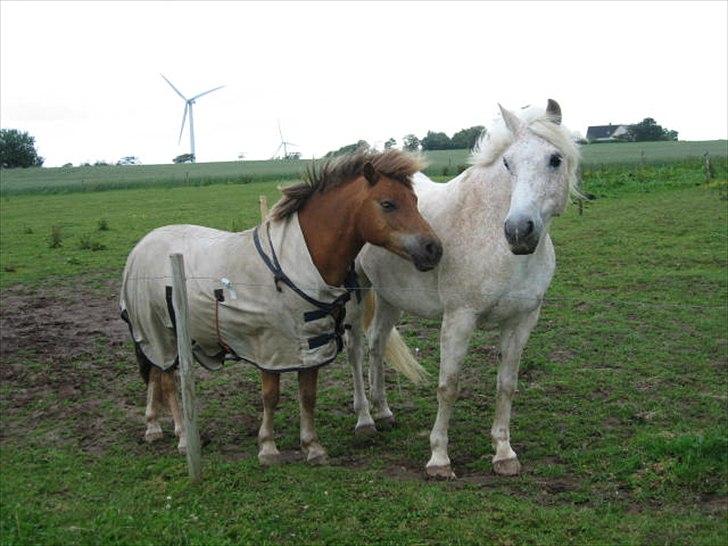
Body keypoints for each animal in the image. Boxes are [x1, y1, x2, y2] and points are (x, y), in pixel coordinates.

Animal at [346, 99, 580, 476]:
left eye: (555, 159)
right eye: (508, 163)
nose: (518, 230)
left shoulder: (522, 321)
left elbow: (506, 385)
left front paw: (504, 453)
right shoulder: (459, 319)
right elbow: (449, 386)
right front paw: (439, 458)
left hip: (389, 297)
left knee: (377, 344)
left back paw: (383, 411)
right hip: (356, 292)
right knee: (354, 349)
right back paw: (365, 419)